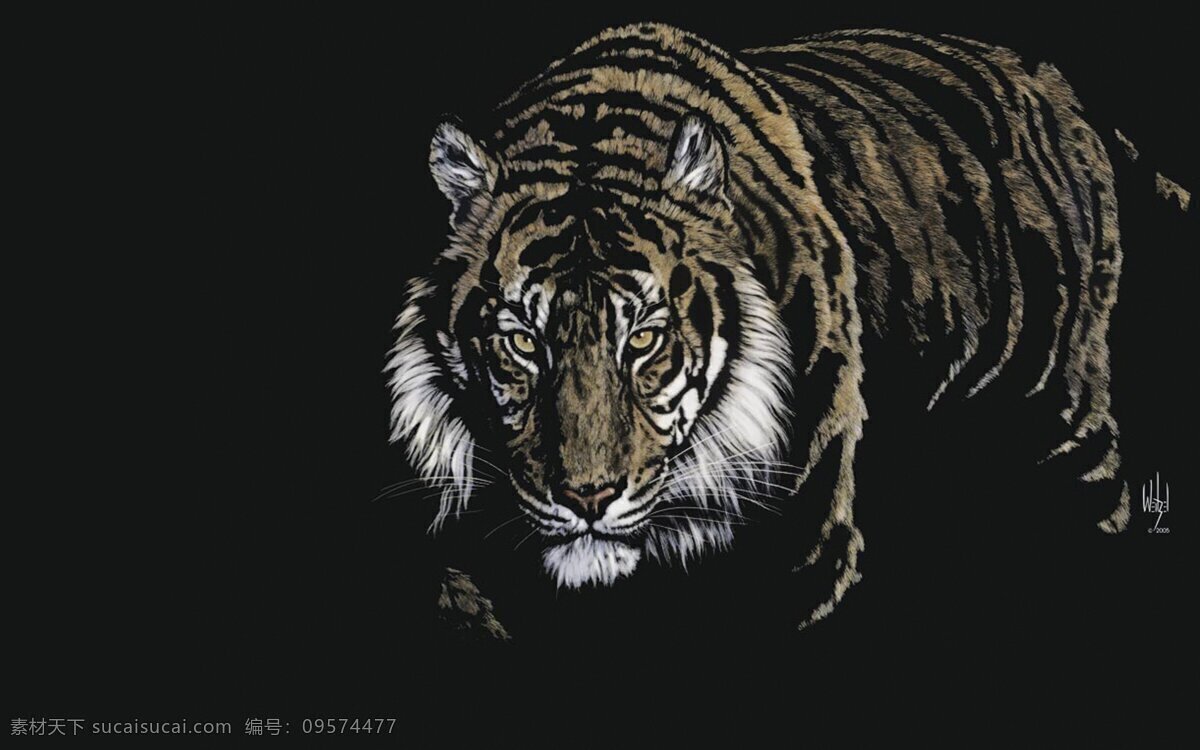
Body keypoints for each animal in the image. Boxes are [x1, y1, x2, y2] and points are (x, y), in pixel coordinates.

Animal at [385, 22, 1183, 633]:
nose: (587, 499)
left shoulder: (800, 543)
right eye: (523, 341)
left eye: (643, 339)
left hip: (1063, 418)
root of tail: (1056, 84)